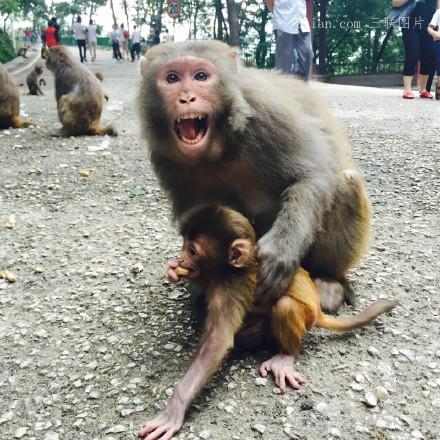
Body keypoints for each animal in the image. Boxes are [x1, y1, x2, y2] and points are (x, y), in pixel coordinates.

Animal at [139, 39, 372, 312]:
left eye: (201, 76)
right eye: (172, 78)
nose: (187, 97)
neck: (221, 145)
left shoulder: (267, 113)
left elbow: (313, 174)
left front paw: (281, 251)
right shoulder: (164, 157)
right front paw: (199, 280)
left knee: (345, 182)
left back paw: (327, 279)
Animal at [139, 206, 398, 440]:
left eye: (193, 251)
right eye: (185, 246)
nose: (182, 257)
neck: (229, 270)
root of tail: (318, 310)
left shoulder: (229, 288)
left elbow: (216, 343)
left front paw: (175, 408)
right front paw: (173, 271)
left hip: (305, 316)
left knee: (284, 306)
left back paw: (285, 356)